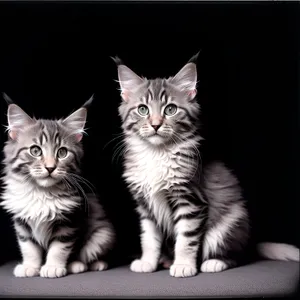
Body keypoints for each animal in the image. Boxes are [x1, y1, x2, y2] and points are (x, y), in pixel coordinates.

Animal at [0, 95, 115, 278]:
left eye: (62, 152)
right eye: (35, 150)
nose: (50, 167)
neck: (41, 192)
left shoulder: (68, 222)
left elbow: (59, 248)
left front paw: (53, 267)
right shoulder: (22, 223)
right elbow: (29, 248)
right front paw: (30, 266)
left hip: (103, 234)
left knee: (90, 255)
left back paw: (83, 264)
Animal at [114, 54, 298, 278]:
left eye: (170, 109)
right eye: (142, 110)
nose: (156, 124)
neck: (157, 153)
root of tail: (249, 243)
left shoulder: (190, 200)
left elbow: (186, 239)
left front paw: (184, 265)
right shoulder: (146, 206)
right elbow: (149, 238)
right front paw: (147, 262)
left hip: (229, 223)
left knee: (235, 255)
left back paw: (214, 262)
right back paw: (166, 260)